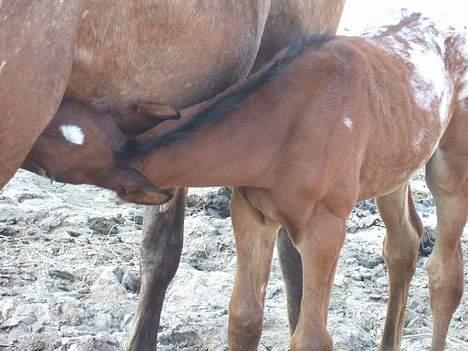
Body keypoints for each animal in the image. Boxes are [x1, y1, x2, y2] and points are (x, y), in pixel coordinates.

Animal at [119, 11, 466, 351]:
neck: (288, 119)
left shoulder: (325, 230)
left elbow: (311, 337)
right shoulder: (252, 214)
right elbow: (244, 317)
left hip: (450, 172)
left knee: (444, 275)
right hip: (396, 166)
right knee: (404, 243)